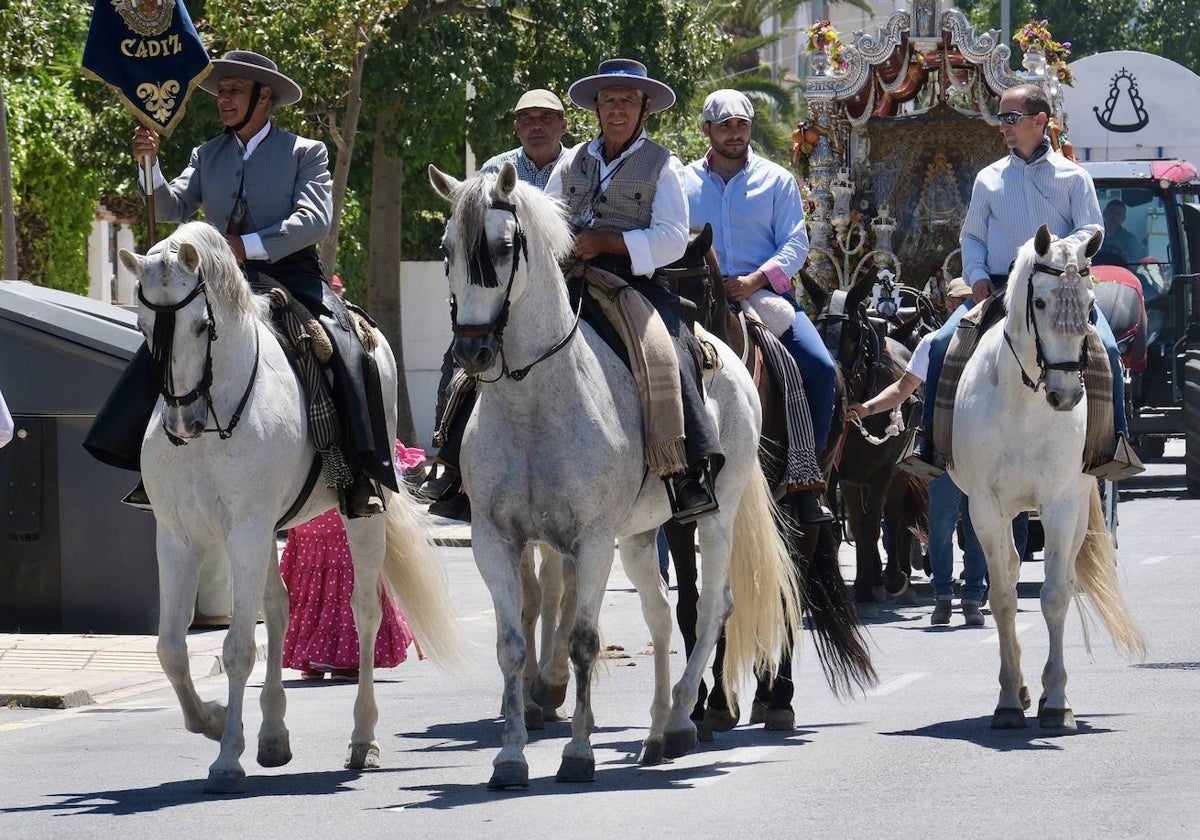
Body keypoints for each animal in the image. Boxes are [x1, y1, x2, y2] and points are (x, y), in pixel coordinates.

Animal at [120, 219, 458, 792]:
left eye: (200, 326)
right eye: (144, 327)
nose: (182, 423)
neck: (218, 413)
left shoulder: (248, 530)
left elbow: (237, 650)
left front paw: (226, 758)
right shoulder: (179, 537)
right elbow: (170, 649)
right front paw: (214, 721)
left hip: (356, 516)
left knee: (364, 612)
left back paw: (362, 739)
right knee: (277, 611)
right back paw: (274, 734)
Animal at [427, 162, 801, 787]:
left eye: (503, 247)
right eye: (447, 248)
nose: (472, 352)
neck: (534, 400)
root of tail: (728, 352)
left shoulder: (593, 538)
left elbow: (583, 641)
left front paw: (578, 752)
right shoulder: (493, 539)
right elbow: (511, 645)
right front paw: (510, 756)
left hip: (712, 516)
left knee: (714, 605)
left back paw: (683, 716)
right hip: (642, 534)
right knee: (660, 616)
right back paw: (656, 733)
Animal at [662, 226, 878, 729]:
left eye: (699, 288)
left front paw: (723, 700)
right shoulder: (681, 518)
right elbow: (692, 602)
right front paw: (705, 704)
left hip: (802, 507)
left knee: (789, 586)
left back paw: (778, 695)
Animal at [950, 226, 1147, 729]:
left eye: (1090, 301)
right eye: (1038, 301)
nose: (1066, 395)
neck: (1025, 402)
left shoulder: (1058, 504)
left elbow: (1056, 595)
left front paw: (1055, 700)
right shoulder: (984, 508)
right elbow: (1002, 596)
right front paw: (1007, 699)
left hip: (1076, 507)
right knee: (1012, 569)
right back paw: (1019, 690)